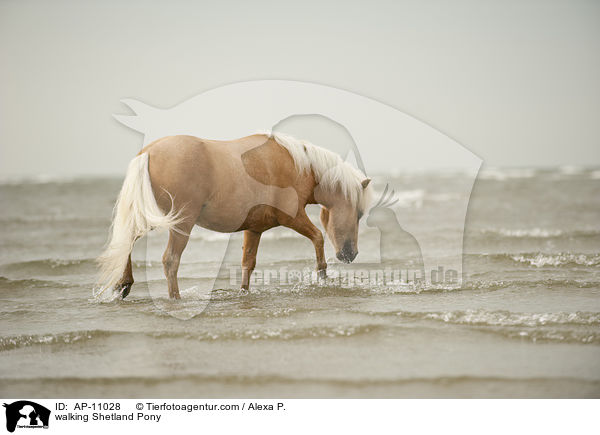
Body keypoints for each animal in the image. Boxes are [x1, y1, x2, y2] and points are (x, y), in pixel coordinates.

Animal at [97, 131, 370, 298]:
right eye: (358, 213)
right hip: (181, 223)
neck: (294, 163)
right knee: (170, 260)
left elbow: (248, 263)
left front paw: (244, 292)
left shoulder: (254, 228)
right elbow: (318, 238)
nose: (351, 254)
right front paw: (322, 275)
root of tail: (148, 153)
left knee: (127, 241)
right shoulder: (292, 217)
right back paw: (174, 297)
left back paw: (125, 284)